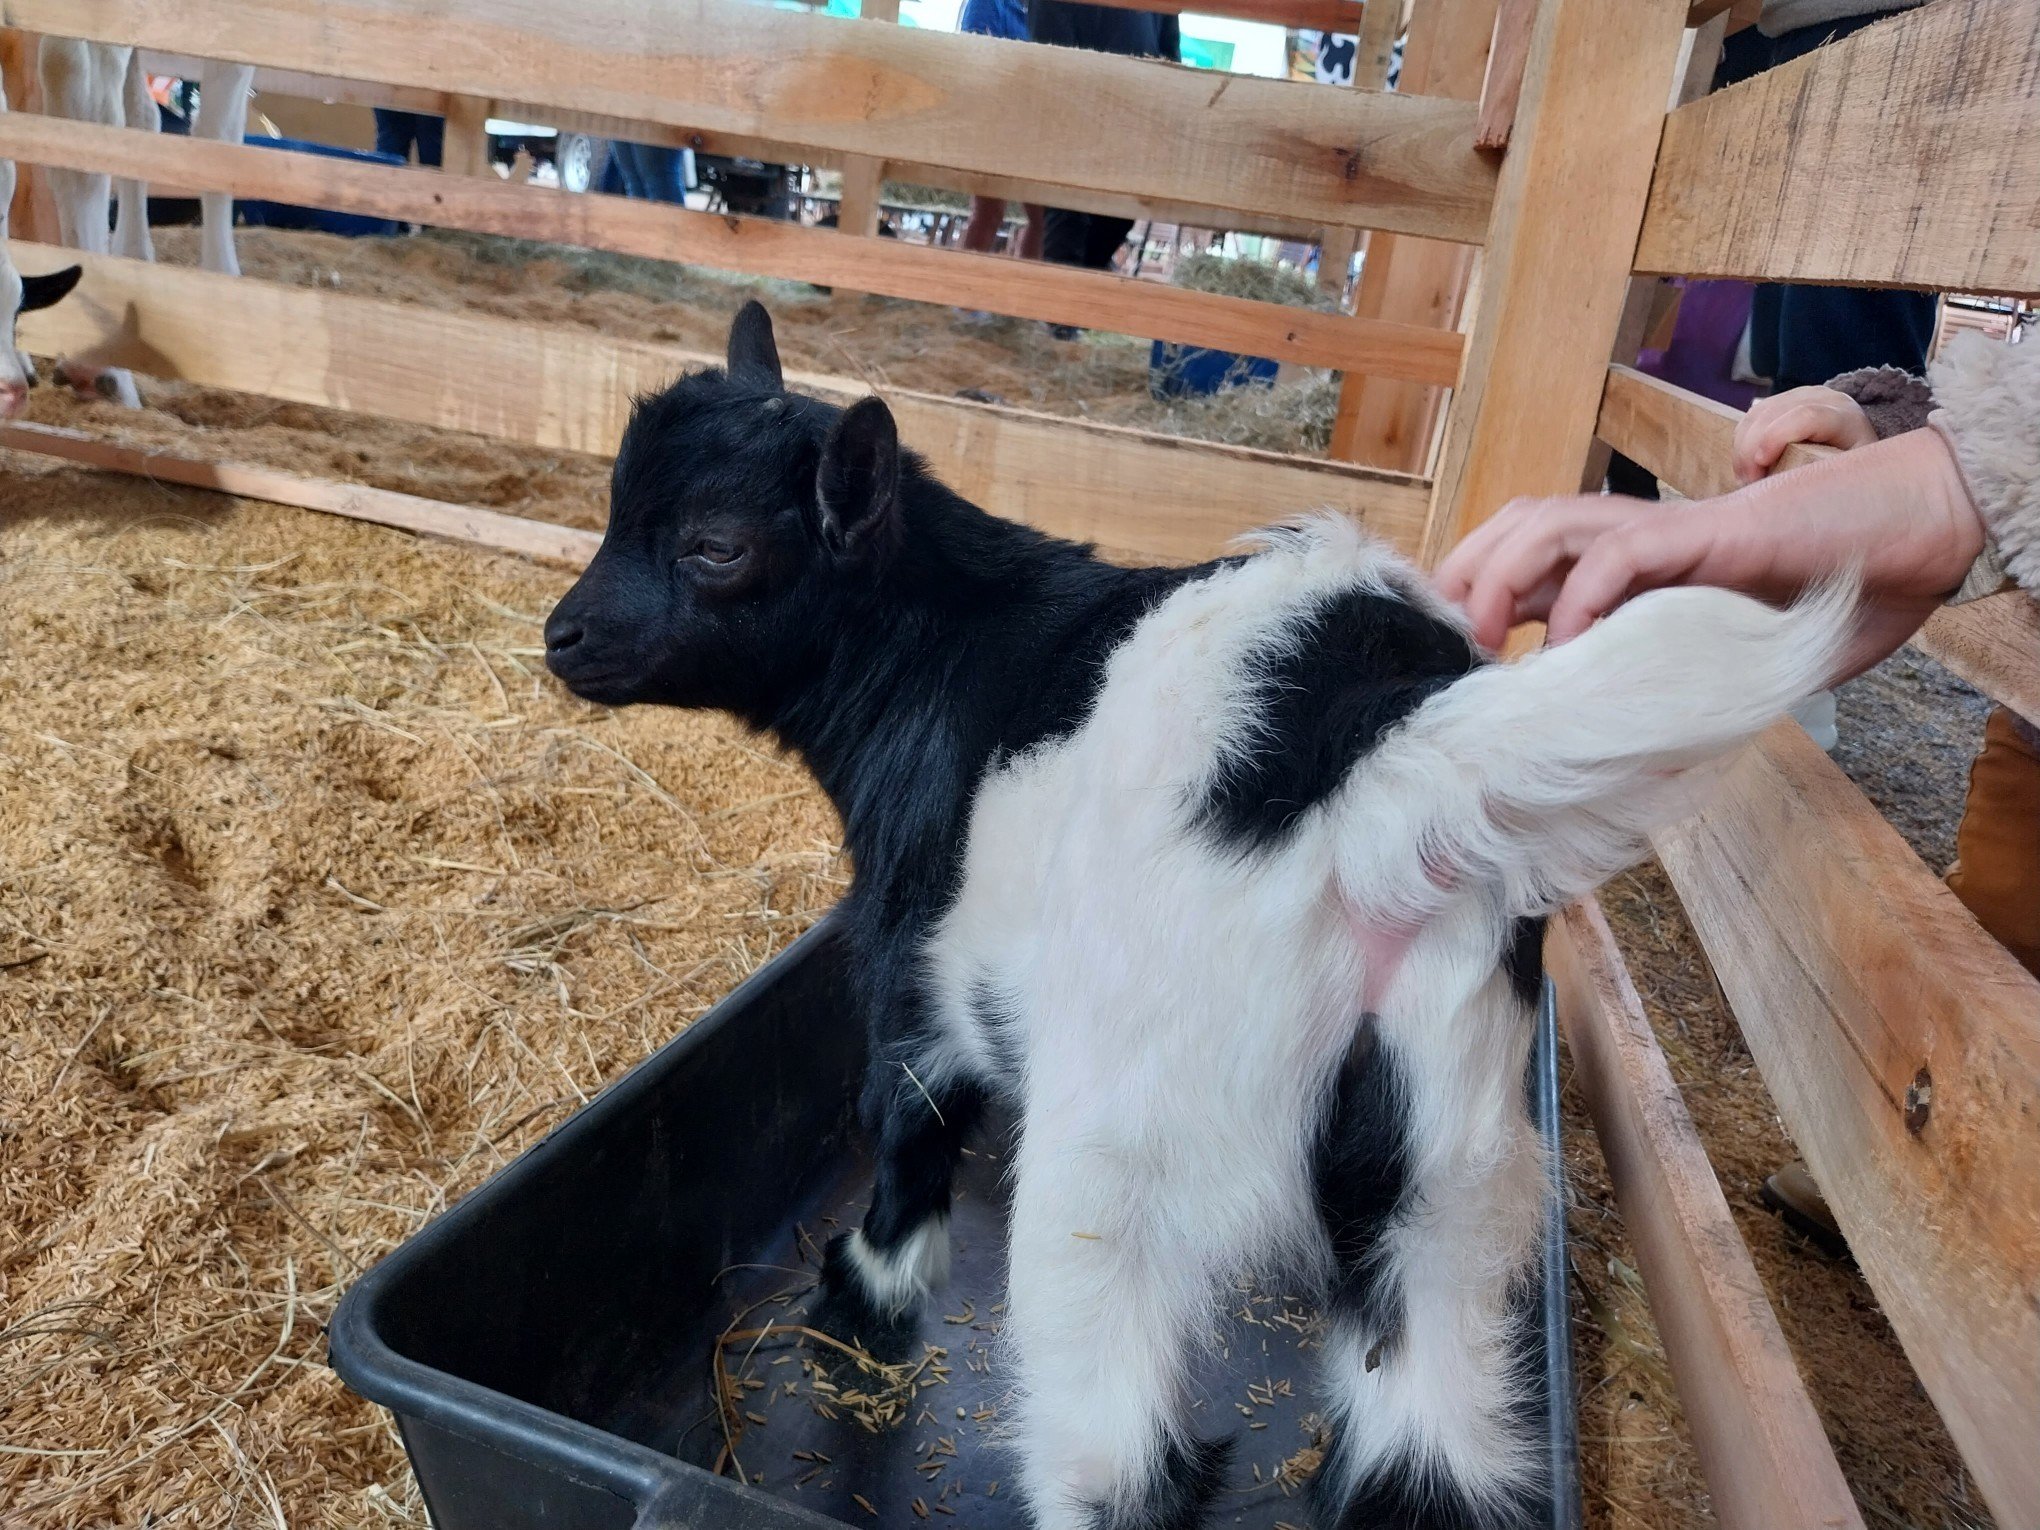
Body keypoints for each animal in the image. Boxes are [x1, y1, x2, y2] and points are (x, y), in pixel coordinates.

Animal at [542, 306, 1852, 1525]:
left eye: (717, 547)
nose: (564, 637)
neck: (937, 662)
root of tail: (1381, 759)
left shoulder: (917, 971)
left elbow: (905, 1125)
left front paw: (863, 1294)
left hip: (1124, 1154)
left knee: (1114, 1458)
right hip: (1449, 1180)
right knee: (1429, 1453)